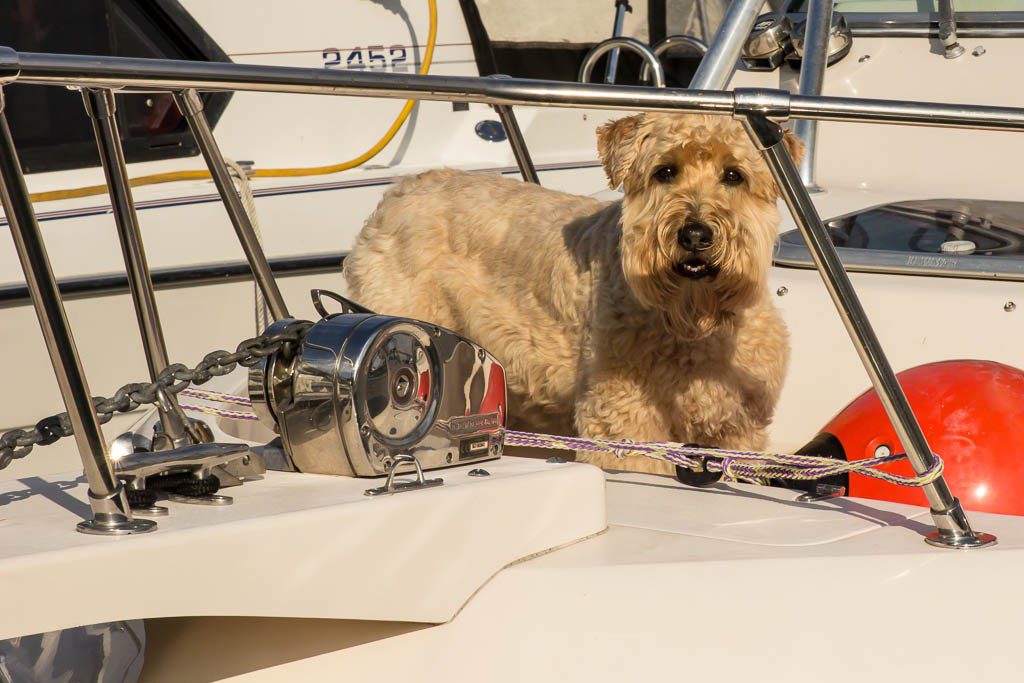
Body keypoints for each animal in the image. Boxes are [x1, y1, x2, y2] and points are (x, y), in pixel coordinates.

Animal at [344, 113, 798, 475]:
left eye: (734, 174)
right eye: (665, 172)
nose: (695, 234)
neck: (691, 324)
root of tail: (396, 193)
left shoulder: (736, 431)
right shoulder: (624, 425)